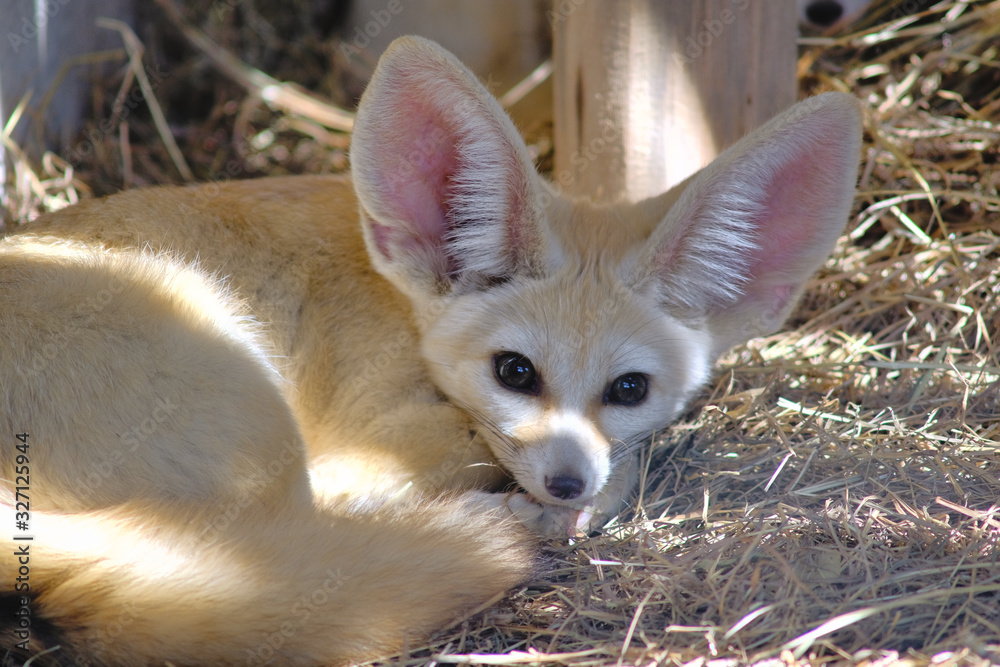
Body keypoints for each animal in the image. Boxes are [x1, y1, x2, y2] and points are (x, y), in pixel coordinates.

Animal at [0, 37, 860, 667]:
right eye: (514, 372)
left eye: (629, 389)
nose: (567, 481)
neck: (400, 302)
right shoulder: (374, 442)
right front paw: (554, 508)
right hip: (259, 427)